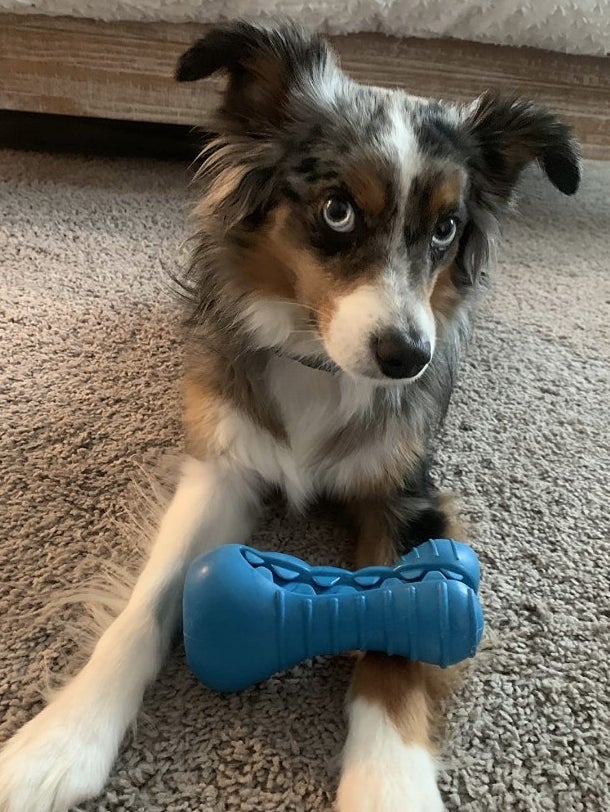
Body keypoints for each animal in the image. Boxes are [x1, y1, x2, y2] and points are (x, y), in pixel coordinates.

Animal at [0, 19, 576, 812]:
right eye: (337, 211)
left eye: (446, 228)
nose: (408, 357)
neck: (320, 363)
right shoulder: (226, 465)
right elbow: (147, 601)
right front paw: (59, 744)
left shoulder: (406, 493)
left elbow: (401, 632)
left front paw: (389, 785)